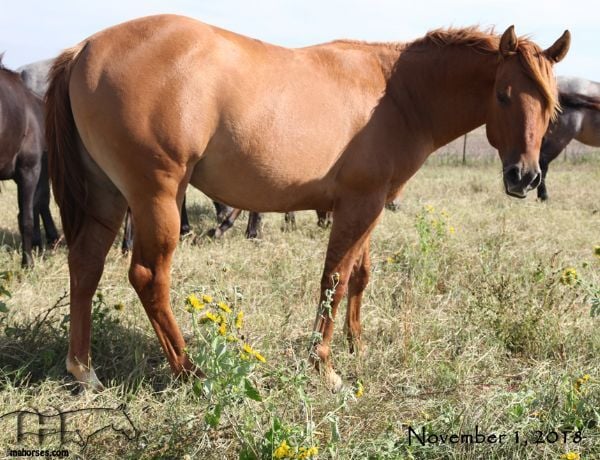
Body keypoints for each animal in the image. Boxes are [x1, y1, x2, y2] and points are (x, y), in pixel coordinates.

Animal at [45, 14, 568, 390]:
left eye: (551, 104)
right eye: (503, 95)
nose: (524, 177)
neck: (396, 93)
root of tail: (84, 48)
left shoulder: (369, 204)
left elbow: (359, 276)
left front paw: (357, 346)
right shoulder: (358, 204)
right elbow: (334, 280)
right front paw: (325, 366)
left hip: (108, 197)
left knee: (85, 266)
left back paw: (84, 370)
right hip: (157, 197)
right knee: (148, 277)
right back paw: (191, 371)